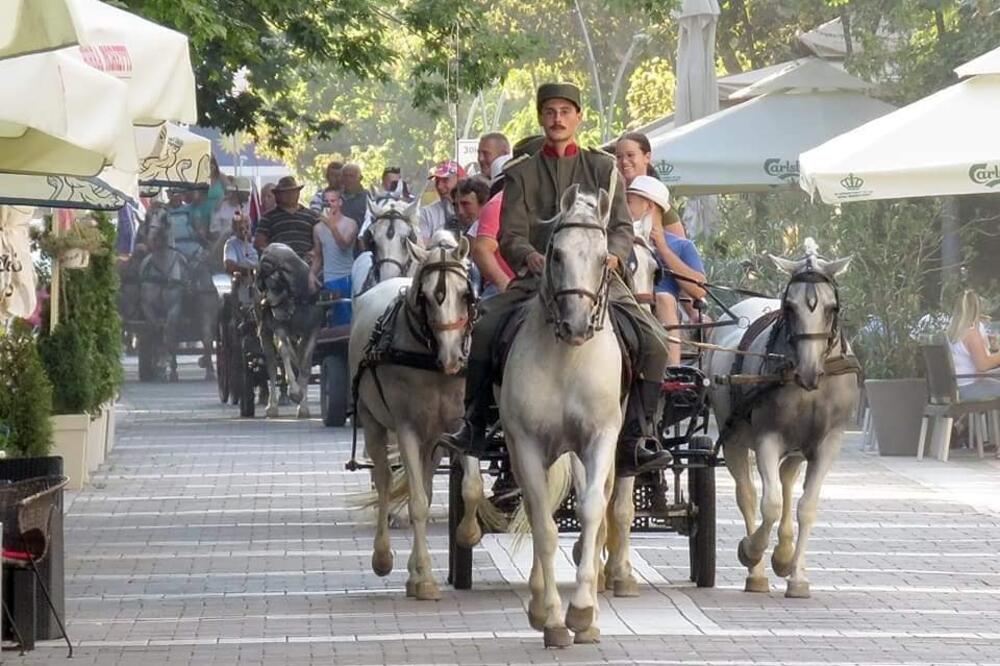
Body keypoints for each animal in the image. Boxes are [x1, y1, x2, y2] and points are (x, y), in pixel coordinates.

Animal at [256, 243, 322, 416]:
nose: (265, 305)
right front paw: (295, 392)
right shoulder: (279, 327)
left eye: (276, 283)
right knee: (272, 365)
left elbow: (305, 363)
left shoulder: (313, 329)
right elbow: (284, 353)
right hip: (265, 329)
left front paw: (303, 406)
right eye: (263, 286)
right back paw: (272, 406)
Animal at [352, 240, 488, 600]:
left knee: (425, 479)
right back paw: (384, 557)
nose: (453, 358)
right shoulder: (407, 429)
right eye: (424, 297)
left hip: (433, 438)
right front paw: (424, 577)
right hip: (373, 423)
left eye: (466, 295)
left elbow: (471, 486)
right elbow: (416, 504)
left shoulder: (462, 425)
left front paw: (468, 533)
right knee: (386, 480)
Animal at [500, 184, 624, 644]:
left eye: (603, 256)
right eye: (555, 254)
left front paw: (583, 611)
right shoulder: (527, 444)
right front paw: (552, 616)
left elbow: (589, 512)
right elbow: (543, 524)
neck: (567, 360)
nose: (577, 325)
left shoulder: (601, 437)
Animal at [704, 241, 860, 600]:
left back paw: (785, 551)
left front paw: (795, 572)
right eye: (790, 306)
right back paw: (757, 572)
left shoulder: (828, 443)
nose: (808, 371)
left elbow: (806, 506)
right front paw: (751, 550)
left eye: (831, 307)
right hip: (734, 438)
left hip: (798, 449)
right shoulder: (767, 438)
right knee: (747, 494)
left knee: (787, 481)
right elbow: (769, 504)